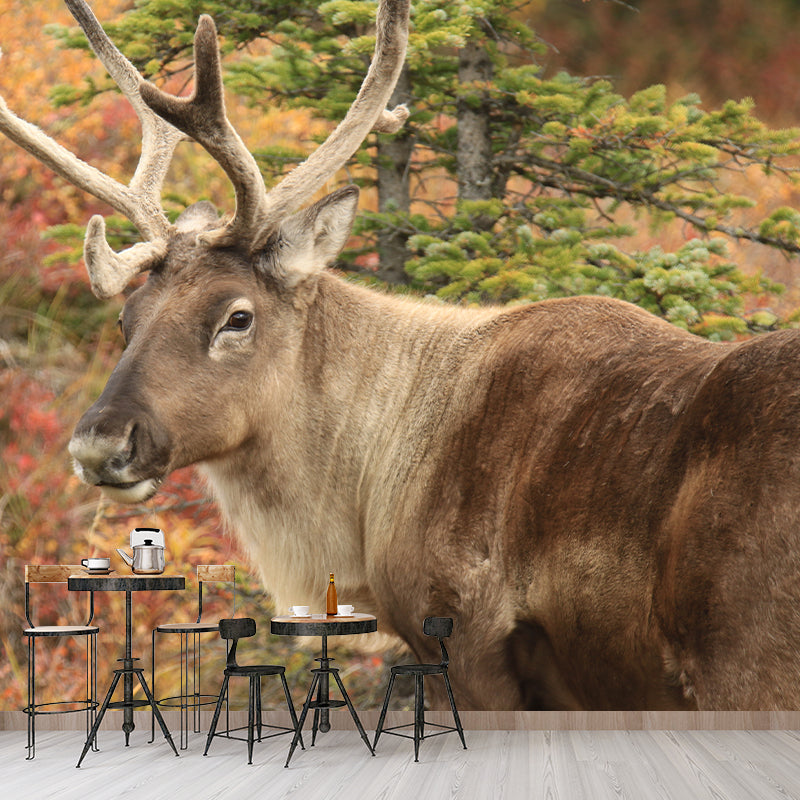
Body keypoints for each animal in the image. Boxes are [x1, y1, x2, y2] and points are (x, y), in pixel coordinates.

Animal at [5, 0, 800, 711]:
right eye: (126, 317)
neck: (368, 493)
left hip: (747, 667)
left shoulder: (466, 640)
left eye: (237, 316)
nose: (99, 443)